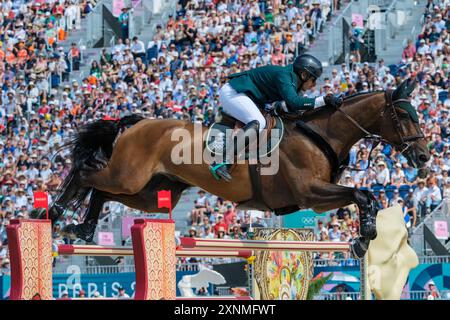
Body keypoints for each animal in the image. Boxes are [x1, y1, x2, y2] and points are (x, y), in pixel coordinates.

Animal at [34, 79, 428, 258]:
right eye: (402, 114)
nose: (424, 158)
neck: (320, 132)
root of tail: (136, 122)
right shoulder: (310, 194)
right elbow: (363, 193)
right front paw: (364, 236)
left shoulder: (315, 198)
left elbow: (366, 195)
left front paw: (363, 236)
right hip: (129, 175)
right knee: (87, 172)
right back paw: (52, 213)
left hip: (151, 191)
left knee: (101, 191)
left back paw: (83, 229)